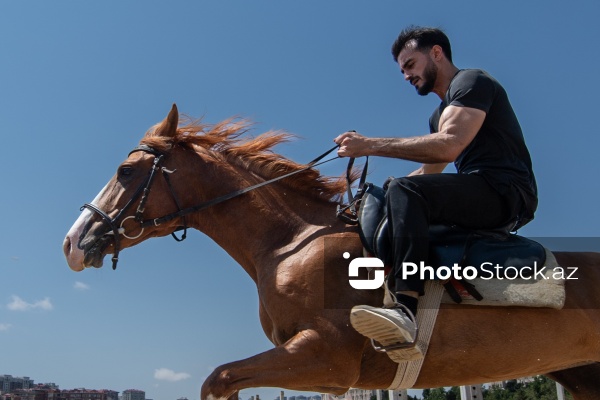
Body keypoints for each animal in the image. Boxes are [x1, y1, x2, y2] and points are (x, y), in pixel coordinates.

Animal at [64, 105, 600, 400]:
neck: (290, 243)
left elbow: (219, 378)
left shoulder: (327, 356)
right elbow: (223, 380)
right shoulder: (323, 370)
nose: (72, 243)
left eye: (125, 171)